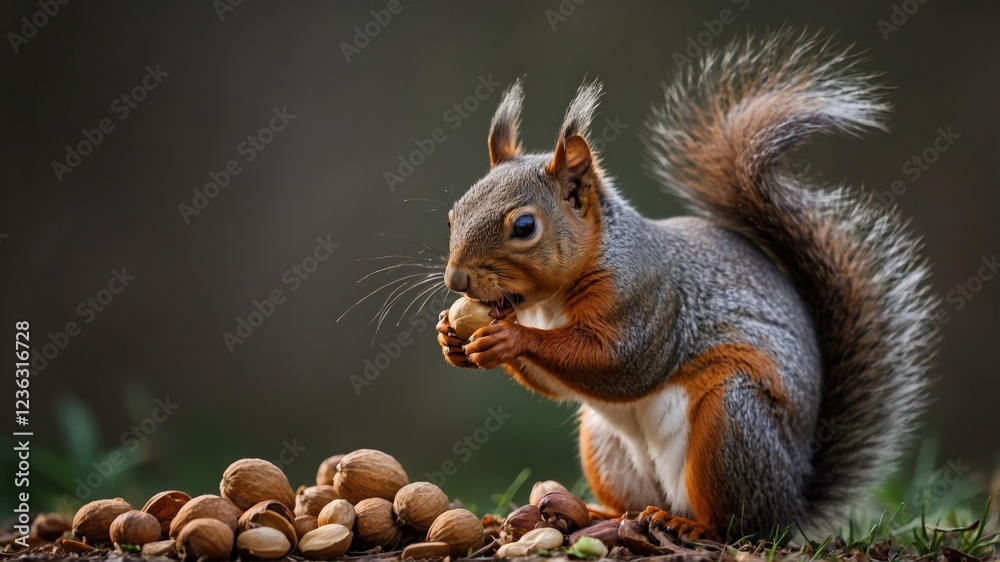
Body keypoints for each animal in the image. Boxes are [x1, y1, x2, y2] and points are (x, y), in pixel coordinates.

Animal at [434, 31, 938, 539]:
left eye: (524, 226)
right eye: (454, 214)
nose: (456, 279)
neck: (549, 302)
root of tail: (793, 503)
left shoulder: (648, 299)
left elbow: (618, 362)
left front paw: (509, 338)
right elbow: (556, 383)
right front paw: (450, 338)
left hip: (731, 424)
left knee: (737, 523)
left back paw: (689, 526)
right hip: (605, 446)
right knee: (629, 502)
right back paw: (597, 514)